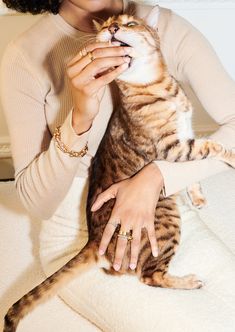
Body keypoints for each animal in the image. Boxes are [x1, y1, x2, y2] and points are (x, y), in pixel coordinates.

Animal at [4, 5, 235, 332]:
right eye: (107, 26)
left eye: (130, 23)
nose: (112, 29)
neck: (157, 86)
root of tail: (93, 239)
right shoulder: (173, 148)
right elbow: (210, 147)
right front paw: (232, 156)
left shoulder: (186, 134)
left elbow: (198, 162)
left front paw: (198, 194)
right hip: (165, 219)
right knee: (148, 276)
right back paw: (188, 281)